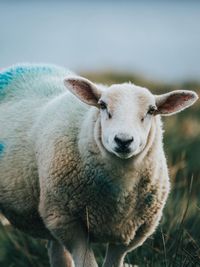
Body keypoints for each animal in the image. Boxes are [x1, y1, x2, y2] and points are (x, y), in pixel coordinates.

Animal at [0, 63, 198, 267]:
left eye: (151, 110)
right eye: (103, 105)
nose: (123, 140)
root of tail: (22, 66)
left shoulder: (132, 231)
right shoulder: (68, 222)